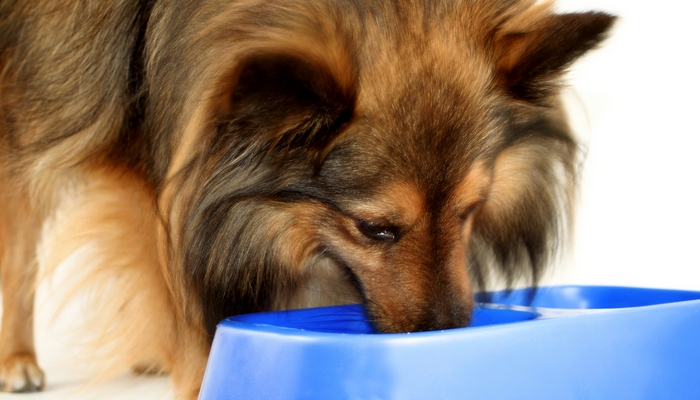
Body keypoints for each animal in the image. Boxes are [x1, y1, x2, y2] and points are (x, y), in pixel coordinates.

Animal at [0, 0, 612, 396]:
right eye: (375, 229)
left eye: (469, 212)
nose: (443, 332)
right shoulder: (157, 174)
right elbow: (180, 289)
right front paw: (203, 376)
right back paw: (18, 361)